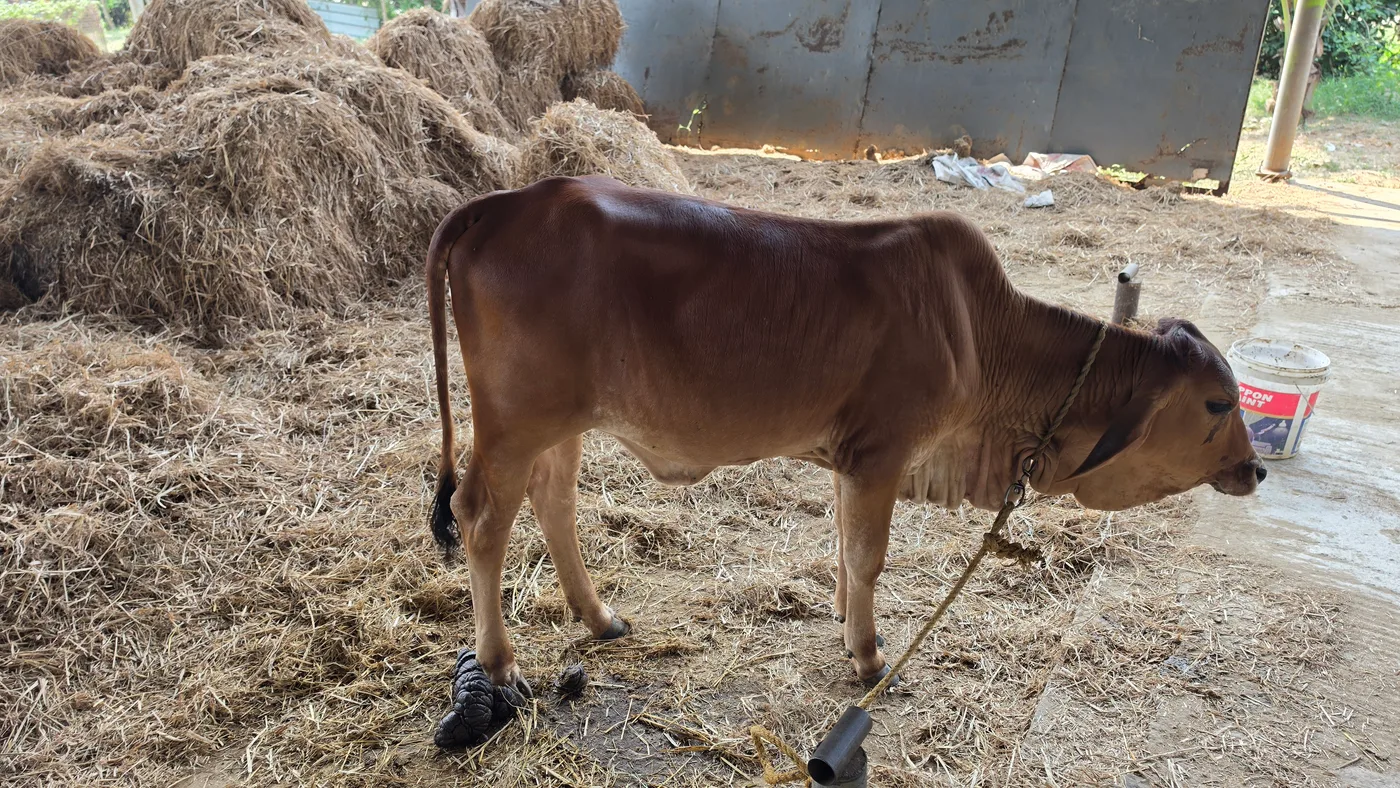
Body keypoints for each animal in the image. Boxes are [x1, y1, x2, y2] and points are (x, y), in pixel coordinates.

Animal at [425, 175, 1263, 696]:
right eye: (1218, 402)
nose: (1255, 471)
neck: (979, 332)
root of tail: (506, 202)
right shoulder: (882, 453)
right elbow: (868, 555)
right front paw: (867, 655)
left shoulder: (850, 456)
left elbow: (841, 541)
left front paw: (839, 614)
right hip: (513, 423)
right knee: (481, 521)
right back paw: (498, 663)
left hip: (561, 425)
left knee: (554, 504)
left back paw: (599, 618)